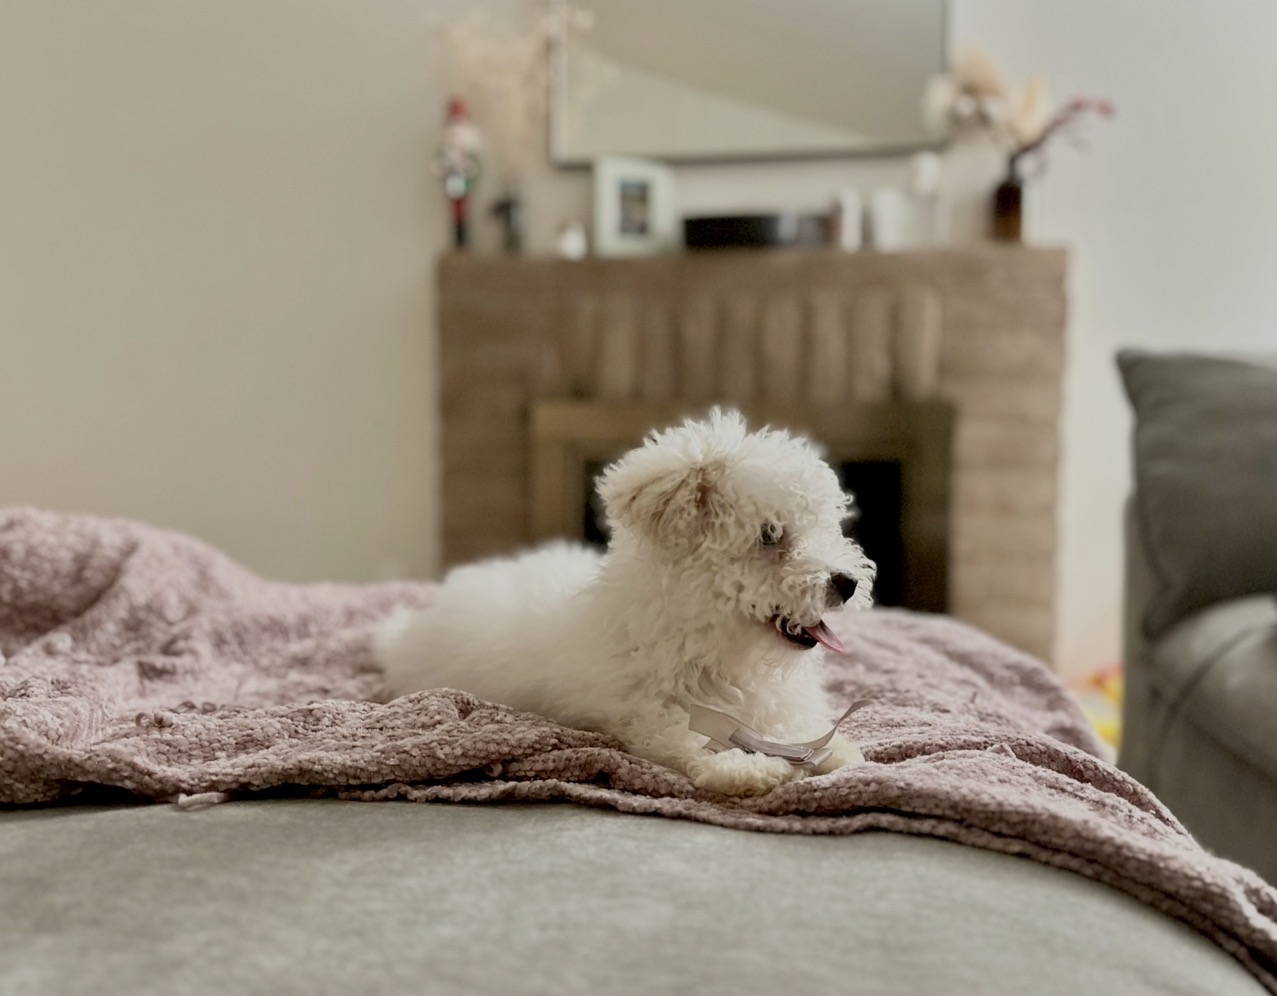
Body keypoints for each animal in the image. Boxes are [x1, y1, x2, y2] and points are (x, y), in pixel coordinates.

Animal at [376, 408, 876, 796]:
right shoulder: (645, 711)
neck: (716, 648)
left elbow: (791, 725)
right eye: (770, 535)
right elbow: (683, 738)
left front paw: (828, 748)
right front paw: (742, 767)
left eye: (825, 527)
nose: (849, 582)